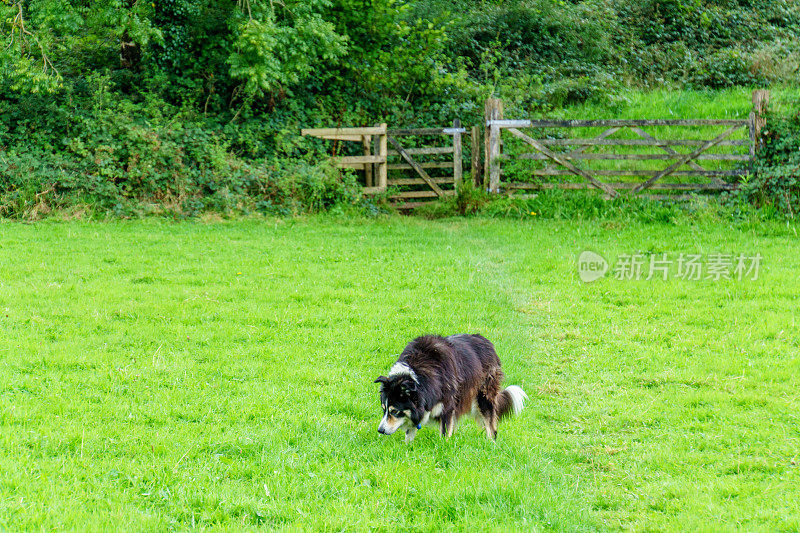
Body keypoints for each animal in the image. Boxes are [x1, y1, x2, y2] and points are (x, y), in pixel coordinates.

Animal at [374, 332, 524, 440]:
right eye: (384, 409)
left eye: (394, 411)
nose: (380, 430)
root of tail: (486, 342)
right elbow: (410, 433)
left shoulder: (448, 406)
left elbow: (445, 432)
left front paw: (443, 447)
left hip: (483, 395)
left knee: (491, 424)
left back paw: (491, 443)